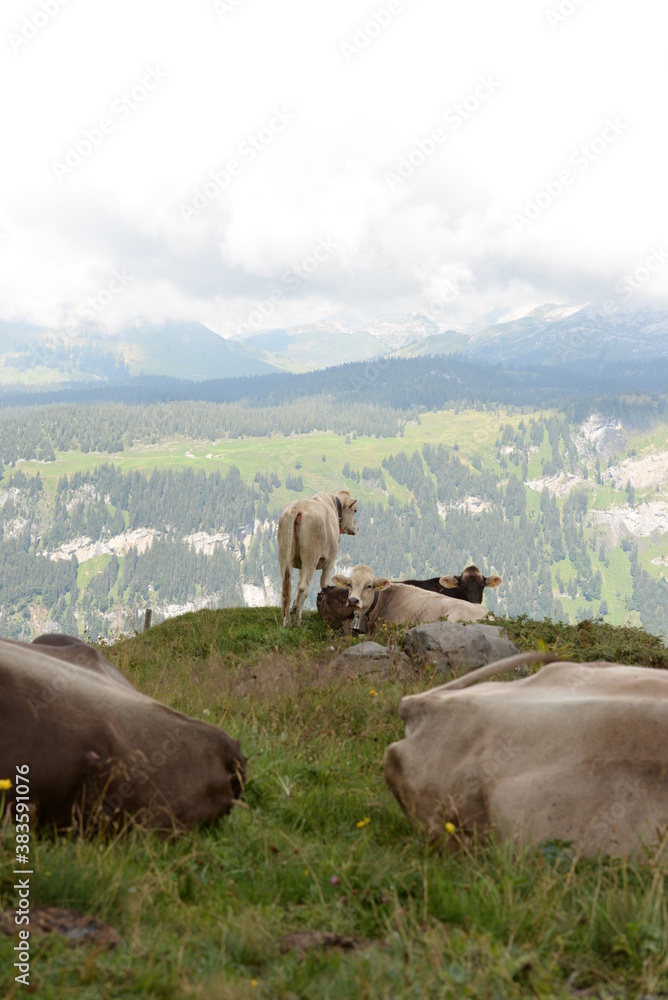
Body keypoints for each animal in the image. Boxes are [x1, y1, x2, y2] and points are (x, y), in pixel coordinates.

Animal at [278, 489, 359, 627]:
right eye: (355, 510)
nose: (356, 528)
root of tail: (299, 506)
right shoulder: (330, 561)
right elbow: (324, 585)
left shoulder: (300, 564)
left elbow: (298, 581)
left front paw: (294, 607)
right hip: (311, 557)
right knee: (303, 587)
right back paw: (297, 621)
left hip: (284, 554)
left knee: (286, 585)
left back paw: (287, 621)